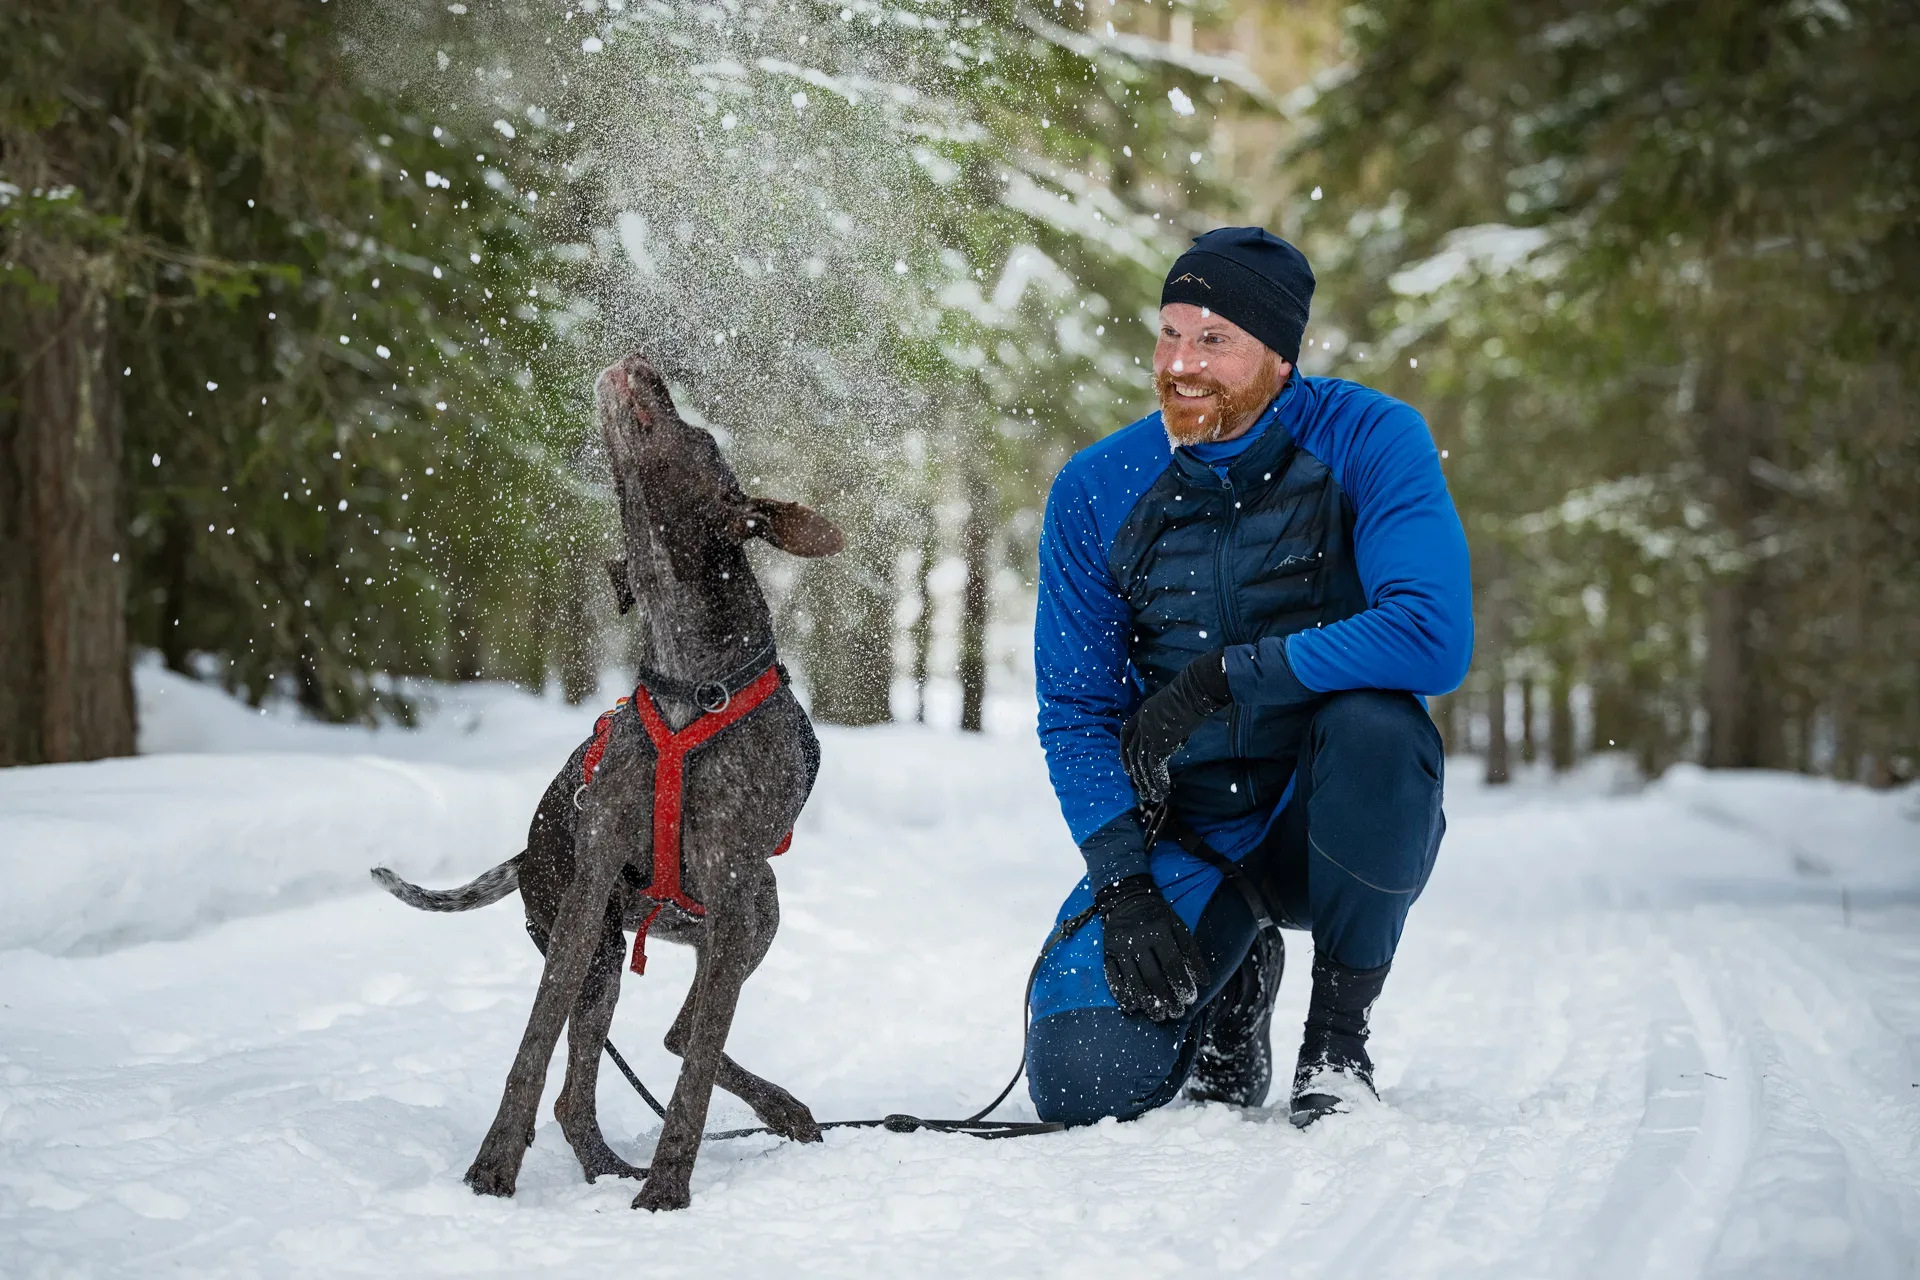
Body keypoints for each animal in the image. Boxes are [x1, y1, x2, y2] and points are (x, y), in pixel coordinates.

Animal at [374, 351, 848, 1212]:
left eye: (701, 435)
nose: (643, 363)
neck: (688, 680)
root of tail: (521, 857)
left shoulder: (733, 884)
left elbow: (695, 1076)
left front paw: (667, 1188)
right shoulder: (589, 890)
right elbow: (533, 1046)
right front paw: (493, 1167)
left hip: (754, 910)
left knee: (683, 1035)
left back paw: (748, 1123)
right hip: (604, 951)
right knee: (589, 1080)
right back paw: (607, 1163)